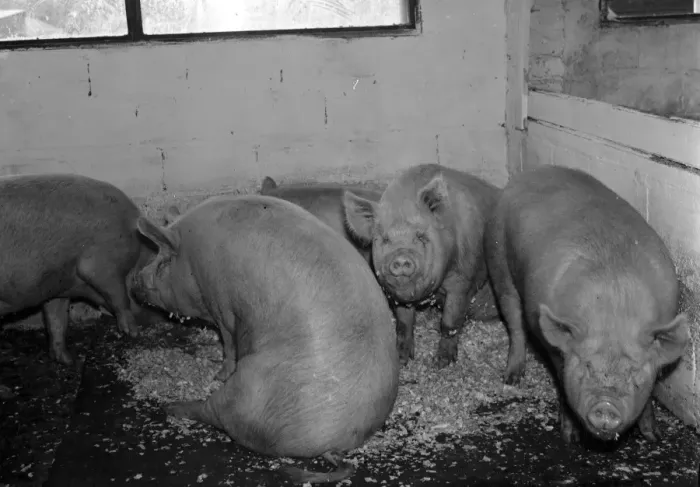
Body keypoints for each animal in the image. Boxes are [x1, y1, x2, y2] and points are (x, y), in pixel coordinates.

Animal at [0, 174, 165, 367]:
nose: (163, 318)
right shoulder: (101, 264)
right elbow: (119, 295)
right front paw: (132, 332)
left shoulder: (57, 288)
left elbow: (57, 321)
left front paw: (69, 360)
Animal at [131, 194, 399, 484]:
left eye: (162, 262)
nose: (133, 282)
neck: (193, 260)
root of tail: (333, 444)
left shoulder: (222, 305)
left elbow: (229, 345)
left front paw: (217, 374)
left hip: (246, 392)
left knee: (213, 412)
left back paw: (171, 406)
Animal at [343, 164, 500, 368]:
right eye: (384, 239)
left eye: (420, 236)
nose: (401, 258)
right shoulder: (398, 297)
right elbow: (404, 323)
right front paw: (402, 359)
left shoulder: (464, 280)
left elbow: (450, 322)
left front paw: (442, 363)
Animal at [484, 165, 690, 444]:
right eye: (586, 366)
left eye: (634, 373)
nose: (606, 407)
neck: (615, 306)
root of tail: (529, 174)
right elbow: (561, 381)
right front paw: (569, 438)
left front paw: (653, 436)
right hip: (497, 259)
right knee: (514, 320)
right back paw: (513, 379)